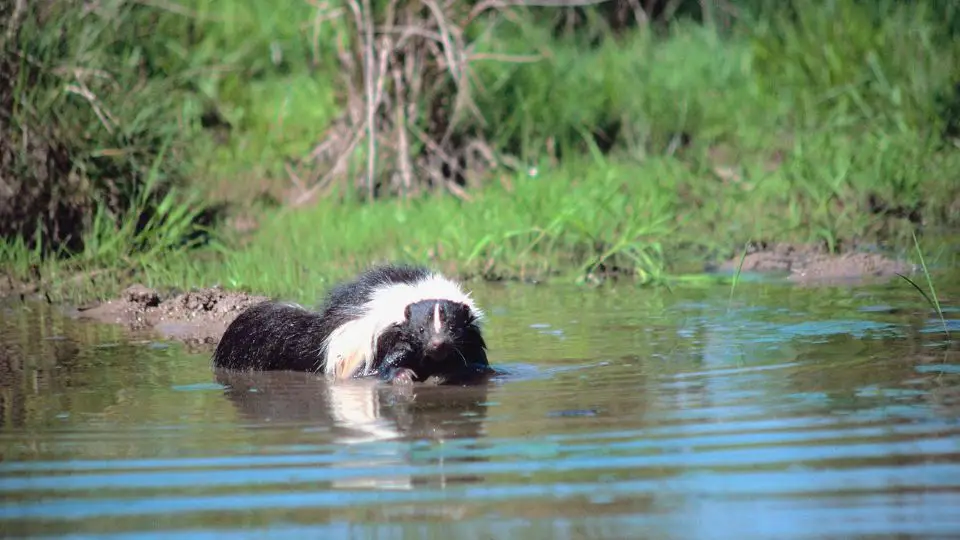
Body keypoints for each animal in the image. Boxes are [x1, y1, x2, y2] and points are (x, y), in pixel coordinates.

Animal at [213, 264, 492, 384]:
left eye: (453, 327)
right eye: (420, 330)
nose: (437, 345)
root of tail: (320, 332)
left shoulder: (470, 338)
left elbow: (477, 362)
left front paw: (453, 371)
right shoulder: (391, 335)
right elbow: (387, 363)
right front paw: (402, 375)